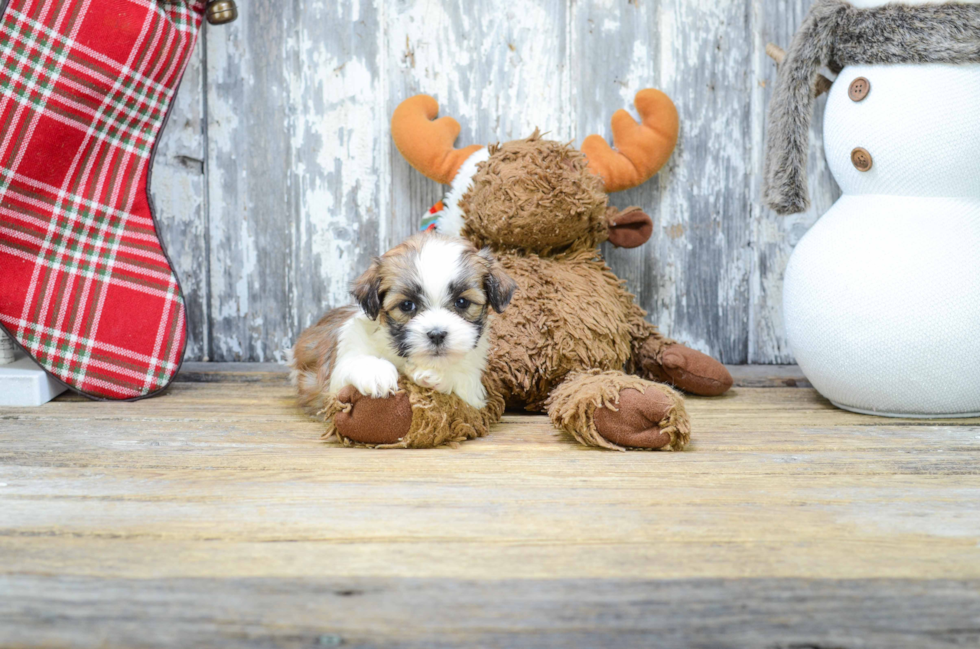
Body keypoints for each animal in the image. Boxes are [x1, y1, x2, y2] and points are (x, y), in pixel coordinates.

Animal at [290, 233, 520, 412]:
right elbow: (353, 363)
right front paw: (376, 371)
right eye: (407, 305)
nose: (437, 334)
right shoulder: (346, 352)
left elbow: (465, 382)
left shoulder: (474, 387)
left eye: (462, 302)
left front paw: (436, 374)